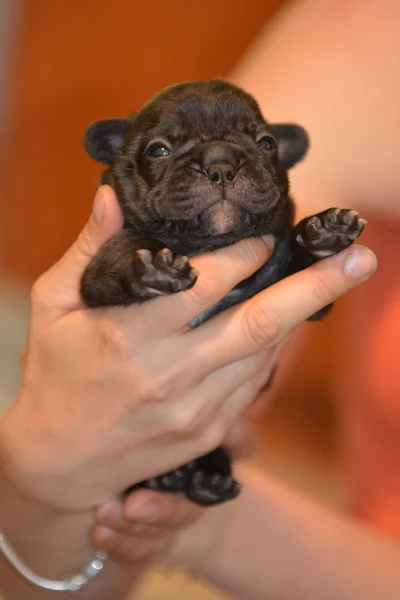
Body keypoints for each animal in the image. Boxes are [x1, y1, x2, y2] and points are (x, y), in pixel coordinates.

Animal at [82, 77, 366, 504]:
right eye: (158, 150)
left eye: (266, 143)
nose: (220, 163)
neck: (210, 246)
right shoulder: (96, 275)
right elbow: (123, 249)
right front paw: (155, 266)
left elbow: (295, 262)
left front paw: (324, 233)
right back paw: (166, 477)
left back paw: (207, 476)